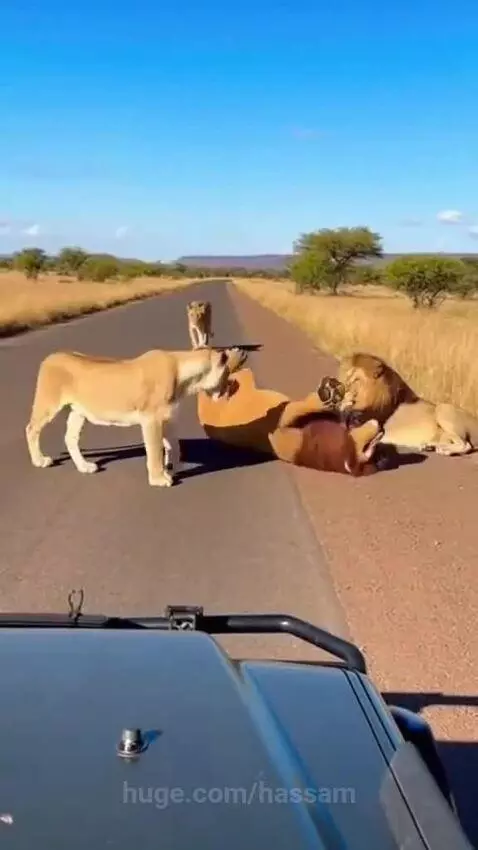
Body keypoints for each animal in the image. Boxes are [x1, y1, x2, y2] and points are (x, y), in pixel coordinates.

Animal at [25, 346, 239, 487]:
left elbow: (175, 446)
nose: (229, 389)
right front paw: (159, 479)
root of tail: (51, 356)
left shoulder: (167, 418)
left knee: (70, 438)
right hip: (48, 403)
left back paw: (85, 466)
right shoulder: (151, 419)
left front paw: (171, 467)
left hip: (78, 411)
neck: (186, 379)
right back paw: (40, 461)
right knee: (31, 428)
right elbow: (154, 449)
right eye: (227, 373)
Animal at [337, 351, 478, 456]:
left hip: (443, 408)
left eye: (356, 380)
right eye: (347, 376)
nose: (344, 388)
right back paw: (429, 446)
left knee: (466, 445)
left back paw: (443, 450)